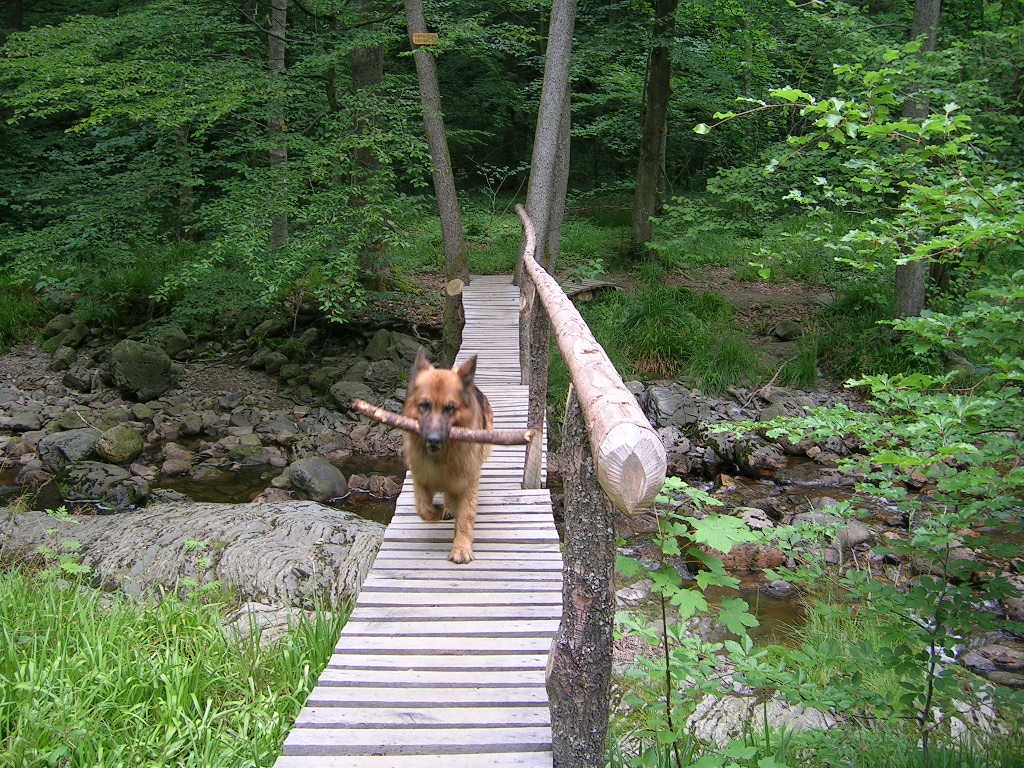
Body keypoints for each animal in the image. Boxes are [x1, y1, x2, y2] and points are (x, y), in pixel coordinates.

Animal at [401, 350, 493, 565]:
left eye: (449, 408)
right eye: (424, 406)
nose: (434, 439)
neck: (442, 457)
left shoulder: (468, 483)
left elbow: (464, 517)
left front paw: (461, 547)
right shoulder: (420, 479)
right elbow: (423, 509)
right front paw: (436, 511)